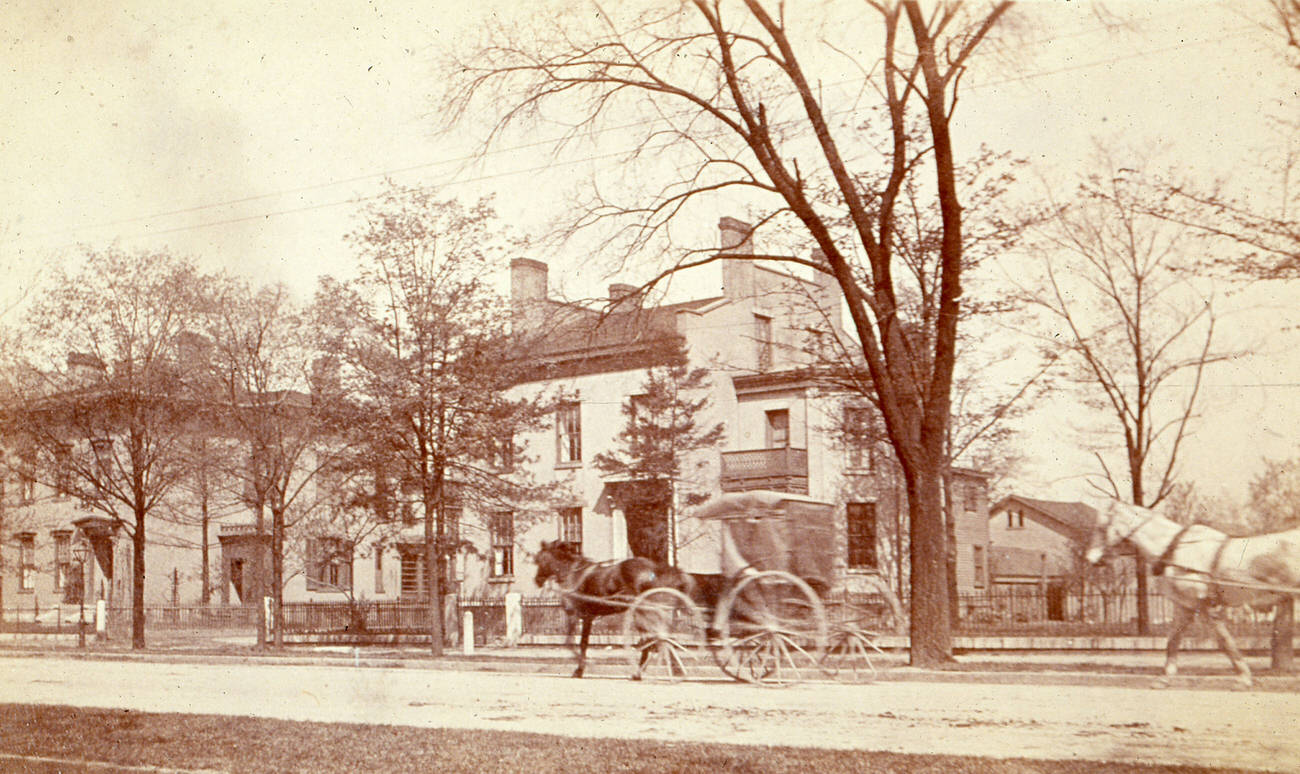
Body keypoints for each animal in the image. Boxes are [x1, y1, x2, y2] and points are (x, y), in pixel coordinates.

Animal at [1086, 499, 1300, 686]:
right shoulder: (1184, 606)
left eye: (1101, 527)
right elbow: (1173, 640)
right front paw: (1166, 677)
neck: (1175, 549)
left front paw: (1244, 676)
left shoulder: (1206, 606)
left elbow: (1225, 641)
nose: (1090, 559)